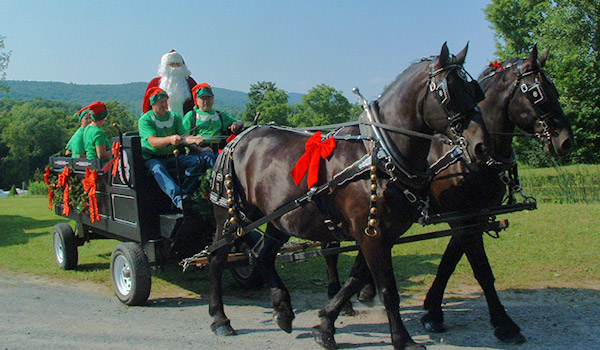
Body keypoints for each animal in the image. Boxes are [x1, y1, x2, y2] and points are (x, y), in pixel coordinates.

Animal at [209, 43, 490, 350]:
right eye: (449, 92)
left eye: (475, 90)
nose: (481, 146)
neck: (382, 153)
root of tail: (238, 136)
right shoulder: (372, 236)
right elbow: (388, 290)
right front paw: (402, 339)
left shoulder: (380, 234)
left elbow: (356, 279)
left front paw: (325, 325)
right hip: (229, 215)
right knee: (217, 259)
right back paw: (220, 318)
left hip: (279, 219)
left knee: (261, 255)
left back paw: (282, 309)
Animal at [326, 43, 576, 344]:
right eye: (538, 93)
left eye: (554, 90)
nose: (566, 141)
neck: (463, 158)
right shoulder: (461, 217)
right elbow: (478, 268)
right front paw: (503, 323)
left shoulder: (474, 216)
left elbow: (450, 260)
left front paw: (433, 310)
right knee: (331, 252)